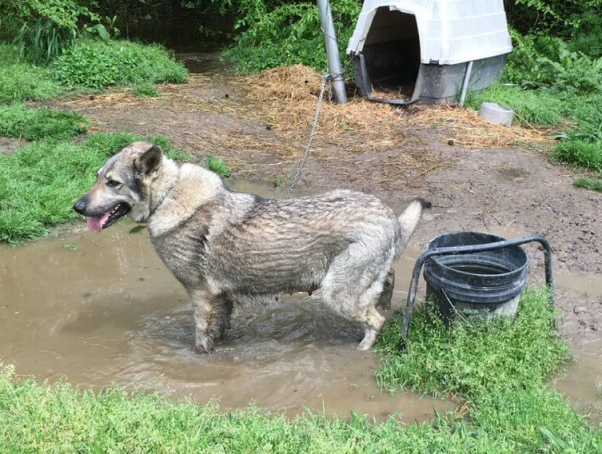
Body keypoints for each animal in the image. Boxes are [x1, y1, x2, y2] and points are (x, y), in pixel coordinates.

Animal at [75, 142, 428, 352]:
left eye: (113, 183)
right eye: (97, 177)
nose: (77, 207)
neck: (168, 195)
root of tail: (390, 219)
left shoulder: (202, 298)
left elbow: (200, 342)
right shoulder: (221, 300)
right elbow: (219, 331)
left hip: (337, 295)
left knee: (376, 322)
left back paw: (362, 351)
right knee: (384, 301)